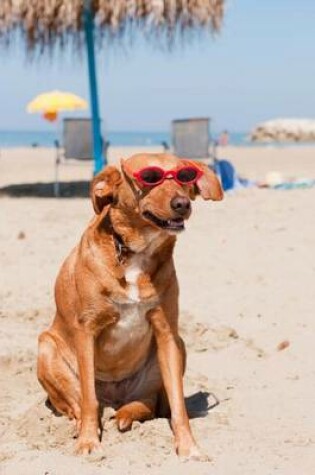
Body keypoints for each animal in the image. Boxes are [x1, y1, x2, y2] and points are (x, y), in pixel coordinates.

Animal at [37, 154, 223, 460]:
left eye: (184, 176)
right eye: (150, 177)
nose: (182, 204)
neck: (136, 253)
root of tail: (115, 398)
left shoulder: (166, 333)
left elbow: (178, 405)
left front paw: (188, 446)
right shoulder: (86, 331)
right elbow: (88, 399)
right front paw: (88, 441)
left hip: (176, 349)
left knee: (147, 403)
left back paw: (128, 414)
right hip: (46, 346)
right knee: (78, 404)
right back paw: (81, 424)